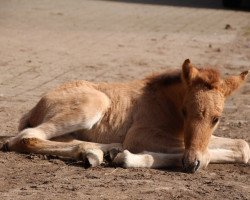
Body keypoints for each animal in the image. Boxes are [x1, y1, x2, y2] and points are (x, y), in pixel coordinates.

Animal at [2, 59, 249, 172]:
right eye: (185, 111)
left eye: (216, 118)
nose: (191, 164)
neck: (167, 103)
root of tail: (36, 107)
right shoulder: (138, 136)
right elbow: (203, 154)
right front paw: (130, 158)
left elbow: (242, 146)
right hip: (93, 105)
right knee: (26, 137)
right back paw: (104, 152)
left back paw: (97, 152)